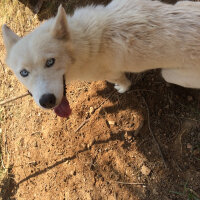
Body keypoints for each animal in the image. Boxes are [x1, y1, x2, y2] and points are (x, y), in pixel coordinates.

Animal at [1, 0, 200, 117]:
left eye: (50, 62)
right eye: (24, 73)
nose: (47, 101)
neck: (84, 42)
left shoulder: (112, 73)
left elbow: (123, 82)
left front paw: (123, 88)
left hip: (169, 74)